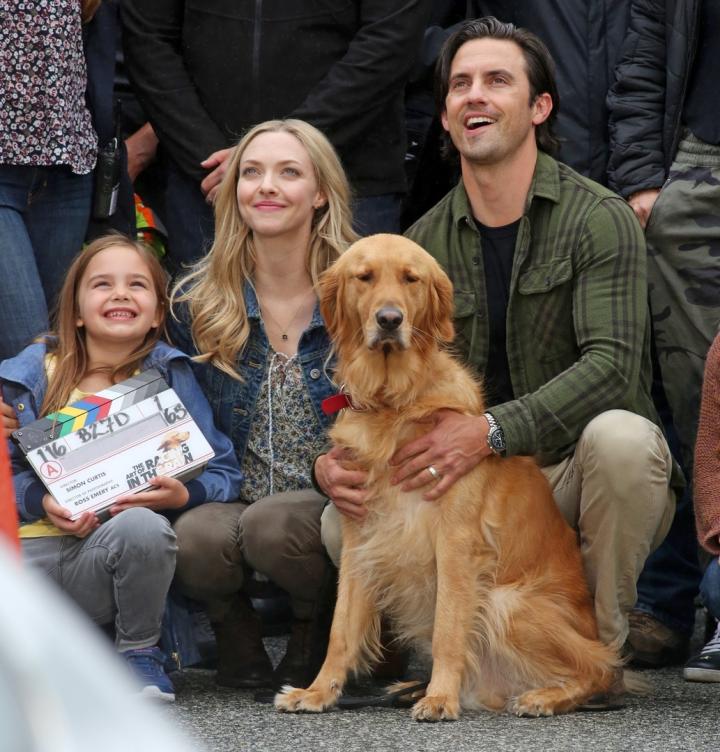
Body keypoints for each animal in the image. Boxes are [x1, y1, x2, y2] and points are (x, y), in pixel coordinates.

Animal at [274, 235, 620, 724]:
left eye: (410, 278)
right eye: (365, 277)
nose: (389, 319)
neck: (394, 403)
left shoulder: (454, 541)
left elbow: (447, 628)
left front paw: (440, 697)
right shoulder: (361, 538)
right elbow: (341, 629)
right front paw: (319, 691)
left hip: (505, 602)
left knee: (602, 667)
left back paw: (545, 696)